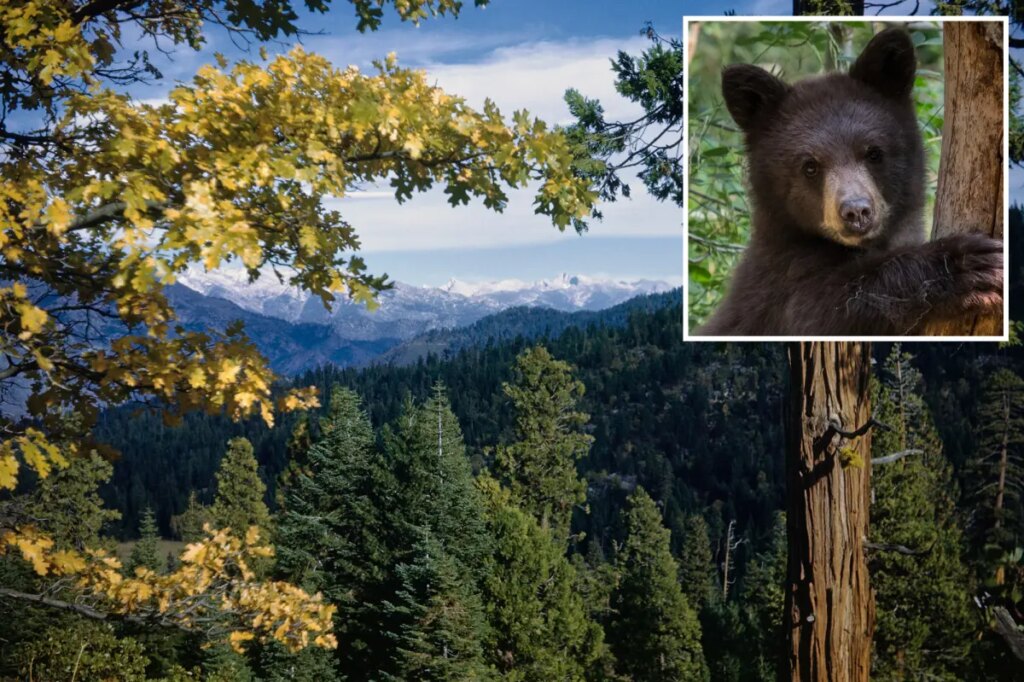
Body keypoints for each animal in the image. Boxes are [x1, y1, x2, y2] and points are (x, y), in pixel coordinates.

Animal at [695, 27, 1003, 336]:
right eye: (810, 166)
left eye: (873, 152)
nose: (856, 211)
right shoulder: (780, 290)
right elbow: (823, 310)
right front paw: (967, 265)